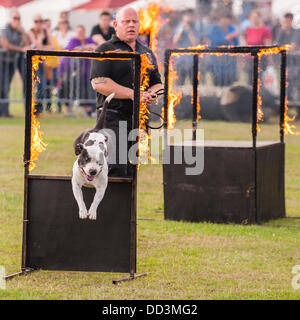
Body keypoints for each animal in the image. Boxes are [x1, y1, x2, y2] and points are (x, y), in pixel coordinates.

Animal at [72, 92, 115, 220]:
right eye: (86, 159)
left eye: (99, 163)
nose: (93, 171)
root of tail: (97, 129)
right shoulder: (76, 184)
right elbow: (80, 199)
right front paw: (82, 211)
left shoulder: (101, 187)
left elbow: (96, 200)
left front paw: (92, 212)